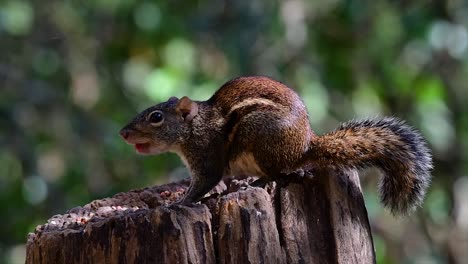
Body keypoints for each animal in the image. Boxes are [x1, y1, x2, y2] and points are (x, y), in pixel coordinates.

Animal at [119, 75, 432, 214]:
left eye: (156, 117)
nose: (123, 133)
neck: (194, 127)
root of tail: (306, 146)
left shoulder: (207, 156)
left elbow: (204, 182)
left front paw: (179, 203)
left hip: (261, 138)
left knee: (281, 173)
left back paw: (257, 182)